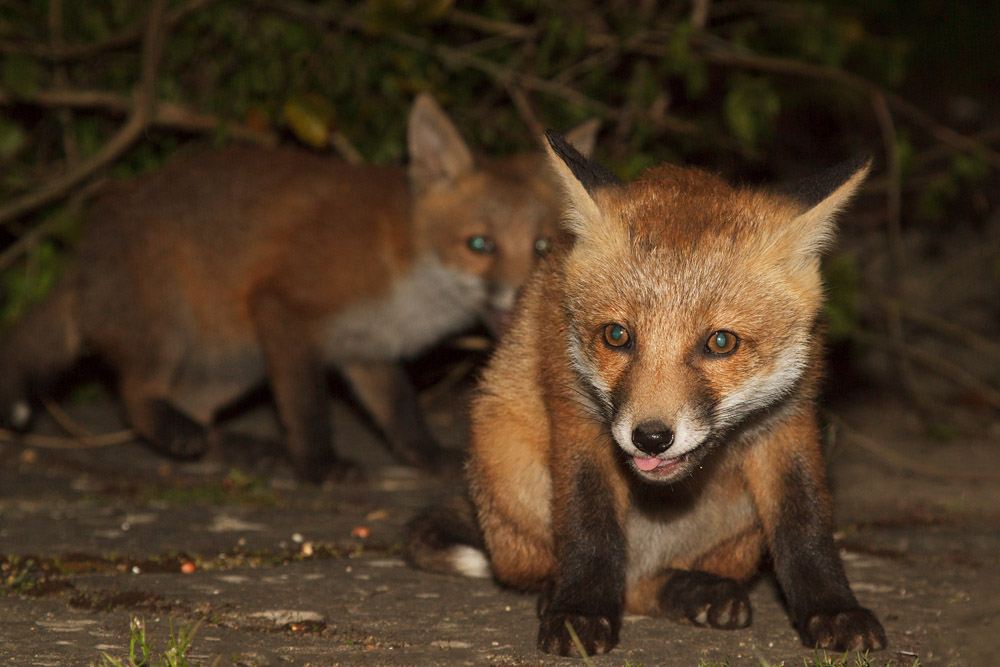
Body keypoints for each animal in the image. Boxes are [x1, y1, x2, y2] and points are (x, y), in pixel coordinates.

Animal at [0, 95, 597, 483]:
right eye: (479, 245)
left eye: (542, 246)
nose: (520, 296)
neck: (400, 266)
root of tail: (81, 258)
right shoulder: (285, 309)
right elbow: (306, 404)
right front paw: (318, 464)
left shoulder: (367, 348)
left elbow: (400, 411)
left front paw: (426, 456)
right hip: (176, 328)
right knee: (138, 396)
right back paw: (191, 437)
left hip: (235, 363)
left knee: (189, 405)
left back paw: (235, 447)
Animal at [406, 132, 887, 655]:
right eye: (617, 336)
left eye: (721, 342)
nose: (651, 438)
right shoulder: (577, 416)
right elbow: (591, 529)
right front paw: (579, 611)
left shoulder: (789, 420)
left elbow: (807, 529)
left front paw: (832, 609)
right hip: (504, 455)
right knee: (568, 571)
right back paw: (558, 591)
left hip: (742, 529)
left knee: (643, 586)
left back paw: (695, 590)